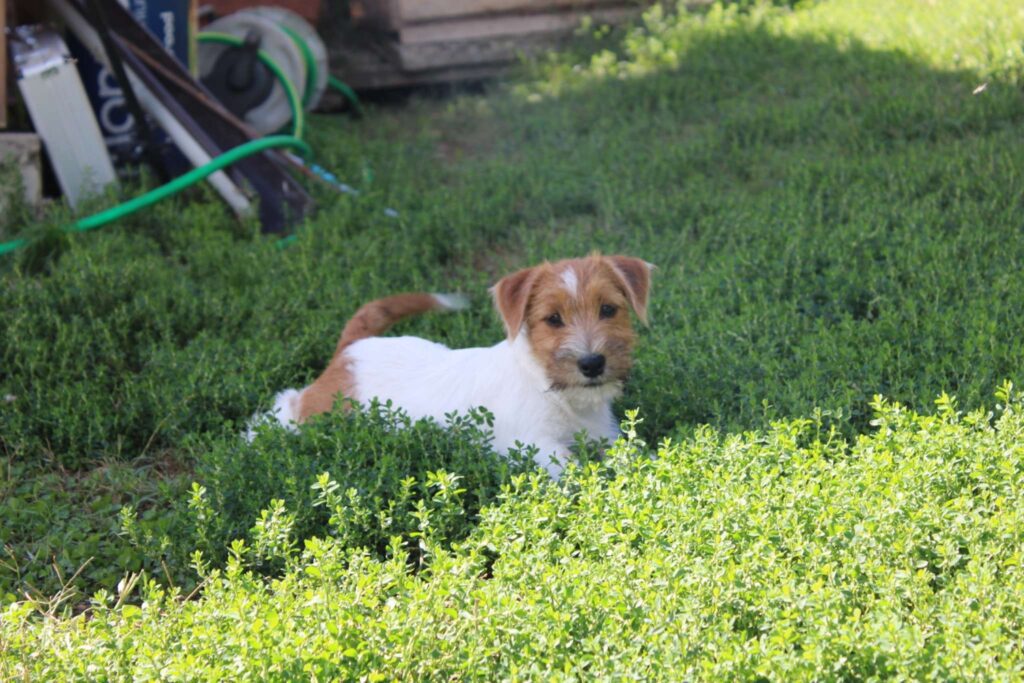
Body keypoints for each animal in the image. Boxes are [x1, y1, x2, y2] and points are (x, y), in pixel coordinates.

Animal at [260, 253, 651, 479]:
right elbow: (573, 468)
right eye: (553, 319)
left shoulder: (605, 436)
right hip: (315, 410)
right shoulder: (536, 446)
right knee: (284, 405)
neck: (556, 392)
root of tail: (353, 347)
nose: (592, 363)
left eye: (608, 309)